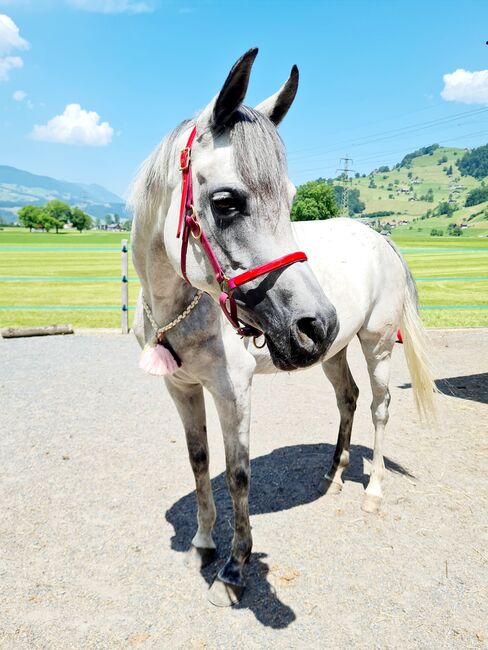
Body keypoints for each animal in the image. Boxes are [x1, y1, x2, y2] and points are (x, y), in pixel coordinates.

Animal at [127, 48, 436, 604]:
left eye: (290, 200)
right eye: (226, 202)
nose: (316, 321)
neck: (180, 310)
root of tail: (379, 237)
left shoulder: (234, 391)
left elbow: (237, 475)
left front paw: (233, 570)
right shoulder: (182, 389)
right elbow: (200, 461)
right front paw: (203, 544)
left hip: (377, 344)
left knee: (379, 407)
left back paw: (374, 493)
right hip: (335, 351)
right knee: (348, 398)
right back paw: (334, 478)